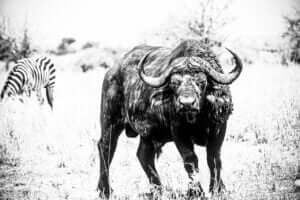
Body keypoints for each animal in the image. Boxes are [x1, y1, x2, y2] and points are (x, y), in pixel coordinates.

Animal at [97, 39, 243, 198]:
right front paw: (196, 191)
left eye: (202, 81)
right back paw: (104, 190)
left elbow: (214, 158)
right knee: (106, 148)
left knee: (143, 155)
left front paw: (218, 189)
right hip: (110, 121)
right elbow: (190, 160)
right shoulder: (178, 132)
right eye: (174, 83)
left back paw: (158, 189)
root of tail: (111, 73)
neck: (197, 119)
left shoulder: (219, 128)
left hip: (148, 134)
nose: (187, 103)